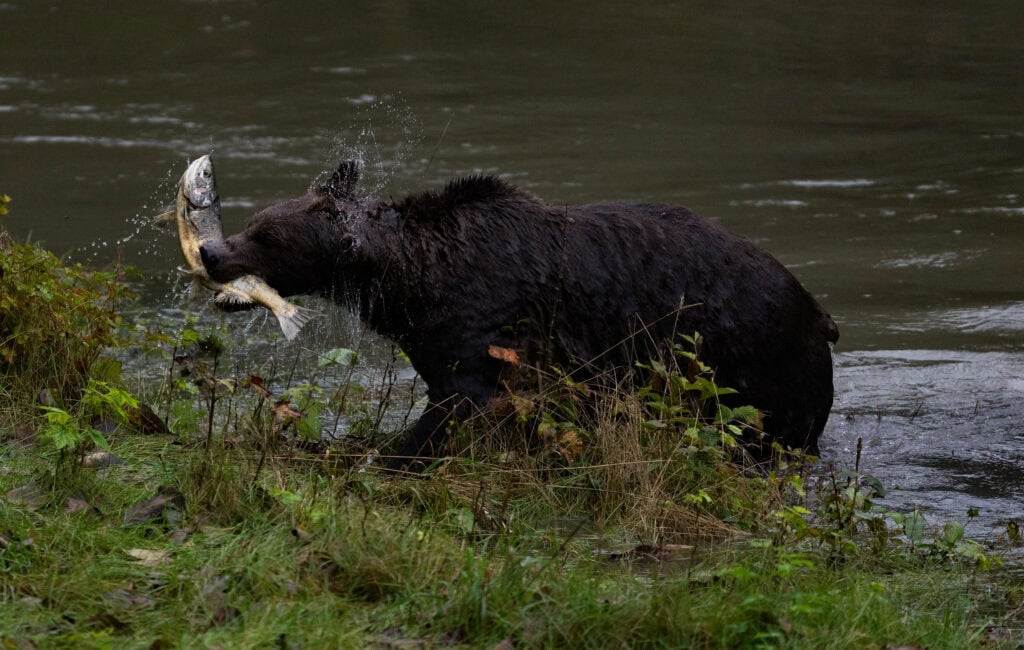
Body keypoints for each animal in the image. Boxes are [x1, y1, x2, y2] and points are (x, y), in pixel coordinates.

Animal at [199, 161, 839, 464]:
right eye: (256, 221)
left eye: (265, 236)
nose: (211, 251)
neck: (415, 279)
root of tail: (820, 311)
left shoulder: (491, 324)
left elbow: (458, 402)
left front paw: (388, 456)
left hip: (753, 363)